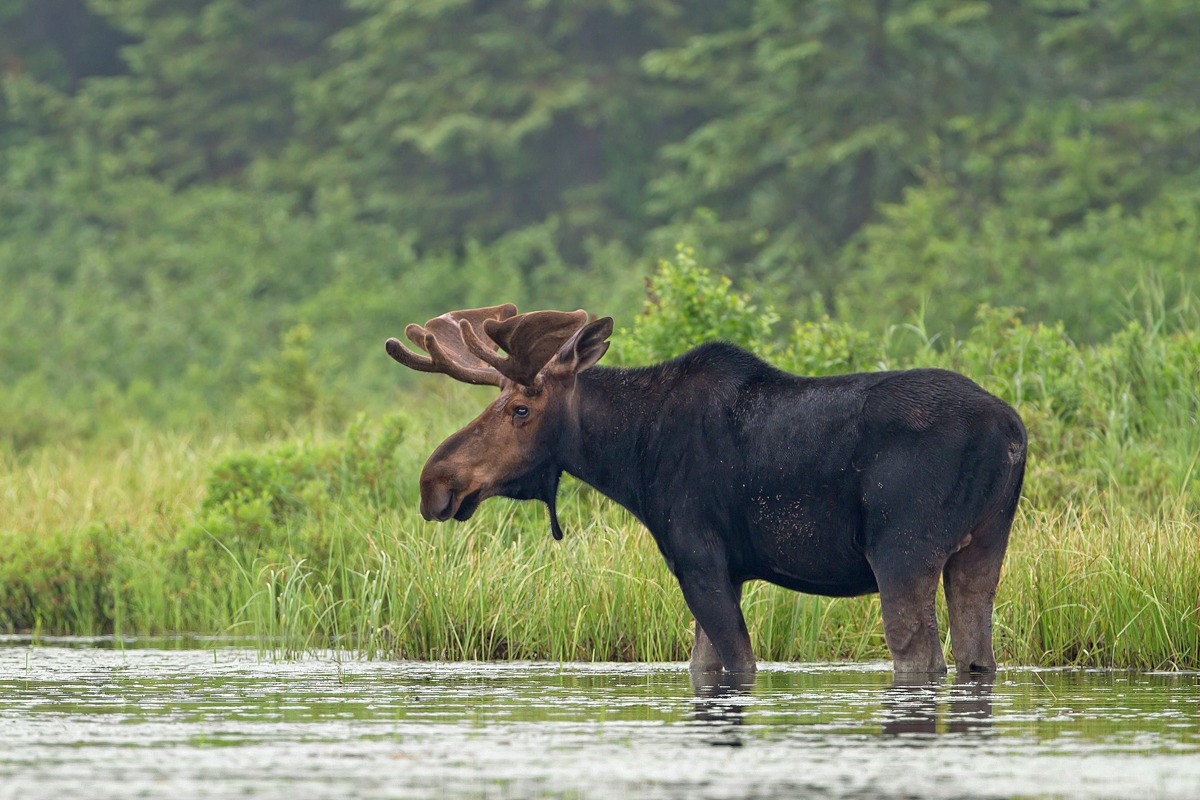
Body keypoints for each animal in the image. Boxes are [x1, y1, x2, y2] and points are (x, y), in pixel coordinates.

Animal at [386, 304, 1026, 677]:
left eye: (520, 409)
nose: (435, 480)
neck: (631, 458)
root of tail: (1013, 433)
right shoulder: (725, 569)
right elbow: (703, 665)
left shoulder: (697, 556)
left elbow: (734, 664)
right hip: (983, 546)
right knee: (977, 655)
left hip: (903, 550)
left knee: (920, 657)